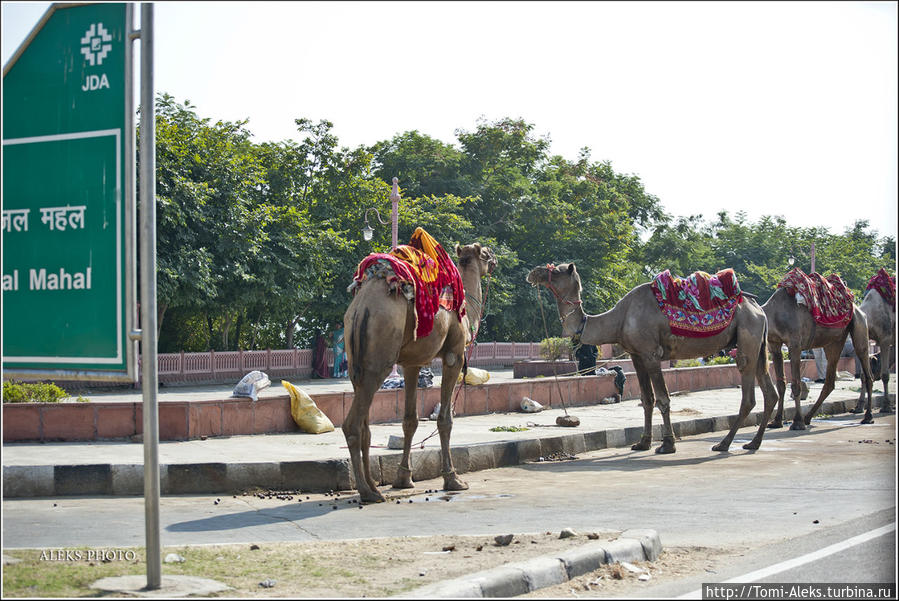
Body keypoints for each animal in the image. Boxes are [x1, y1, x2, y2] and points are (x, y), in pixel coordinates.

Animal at [344, 241, 500, 500]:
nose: (495, 259)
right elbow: (445, 419)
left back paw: (374, 486)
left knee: (365, 424)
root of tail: (361, 307)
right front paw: (454, 479)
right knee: (353, 425)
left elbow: (410, 420)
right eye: (485, 254)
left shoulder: (411, 363)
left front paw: (403, 479)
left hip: (355, 363)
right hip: (379, 358)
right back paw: (368, 493)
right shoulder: (454, 356)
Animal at [532, 260, 776, 452]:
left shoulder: (650, 354)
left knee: (748, 391)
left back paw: (724, 444)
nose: (533, 272)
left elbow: (663, 399)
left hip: (747, 336)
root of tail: (758, 308)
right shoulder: (636, 355)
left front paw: (667, 444)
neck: (620, 319)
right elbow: (647, 399)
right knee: (769, 392)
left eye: (556, 270)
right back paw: (753, 443)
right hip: (758, 343)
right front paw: (643, 443)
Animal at [764, 286, 876, 426]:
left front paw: (797, 422)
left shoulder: (795, 345)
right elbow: (781, 385)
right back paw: (808, 417)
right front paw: (776, 421)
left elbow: (796, 384)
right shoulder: (774, 345)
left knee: (867, 371)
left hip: (859, 325)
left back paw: (868, 416)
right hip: (835, 341)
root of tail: (858, 308)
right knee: (830, 378)